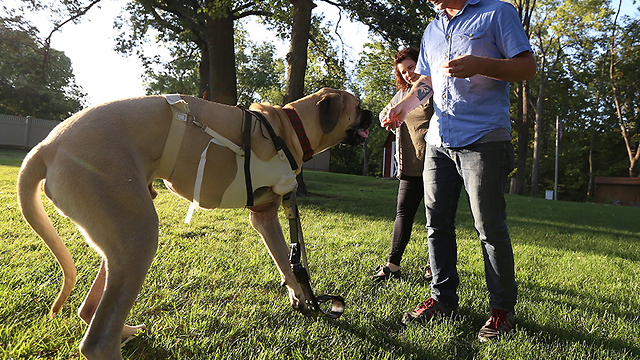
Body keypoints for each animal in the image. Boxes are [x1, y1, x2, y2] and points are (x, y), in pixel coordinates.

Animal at [17, 88, 372, 360]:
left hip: (122, 232)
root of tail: (45, 147)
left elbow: (292, 261)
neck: (290, 126)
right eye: (356, 107)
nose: (372, 113)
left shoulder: (270, 214)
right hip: (138, 234)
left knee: (91, 309)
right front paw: (302, 297)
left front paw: (302, 297)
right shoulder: (269, 214)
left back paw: (126, 331)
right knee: (97, 340)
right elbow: (289, 259)